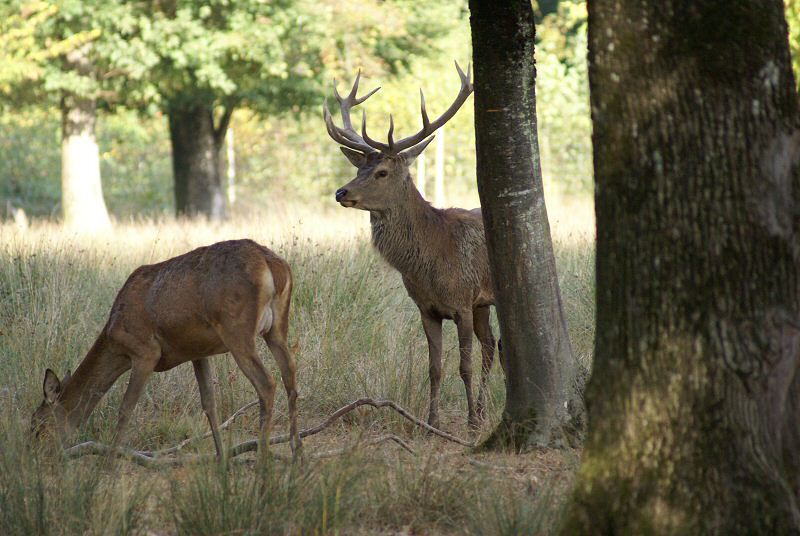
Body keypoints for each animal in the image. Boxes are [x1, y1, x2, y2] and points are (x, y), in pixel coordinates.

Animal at [30, 240, 300, 456]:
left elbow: (126, 408)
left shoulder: (144, 351)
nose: (37, 456)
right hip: (277, 328)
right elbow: (209, 403)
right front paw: (221, 458)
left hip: (237, 329)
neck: (113, 336)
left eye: (38, 426)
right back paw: (297, 454)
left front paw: (108, 464)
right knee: (290, 375)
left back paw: (263, 460)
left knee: (267, 383)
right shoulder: (198, 352)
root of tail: (273, 265)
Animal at [322, 62, 490, 430]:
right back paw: (484, 409)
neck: (430, 263)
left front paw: (469, 421)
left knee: (489, 349)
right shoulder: (426, 308)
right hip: (483, 304)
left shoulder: (462, 301)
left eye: (382, 172)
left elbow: (464, 365)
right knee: (493, 345)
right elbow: (434, 368)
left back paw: (480, 413)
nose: (341, 192)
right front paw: (432, 421)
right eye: (359, 166)